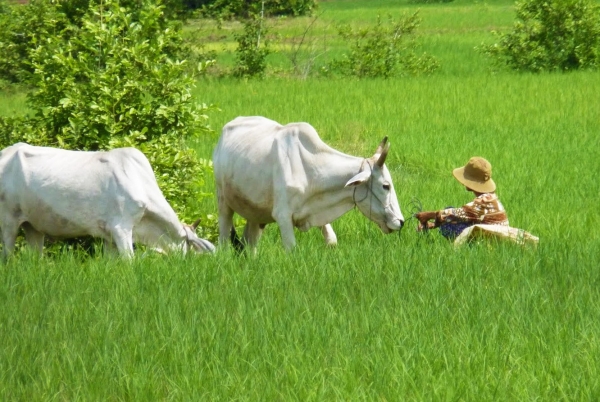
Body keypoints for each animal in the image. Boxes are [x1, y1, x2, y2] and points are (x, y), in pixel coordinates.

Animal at [0, 143, 216, 260]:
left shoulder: (108, 237)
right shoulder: (121, 228)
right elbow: (129, 261)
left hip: (32, 226)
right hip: (8, 221)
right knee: (7, 255)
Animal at [213, 114, 406, 251]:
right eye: (386, 186)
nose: (401, 221)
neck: (310, 170)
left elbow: (332, 241)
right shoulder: (283, 216)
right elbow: (291, 249)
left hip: (255, 213)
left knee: (250, 243)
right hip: (223, 202)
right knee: (224, 240)